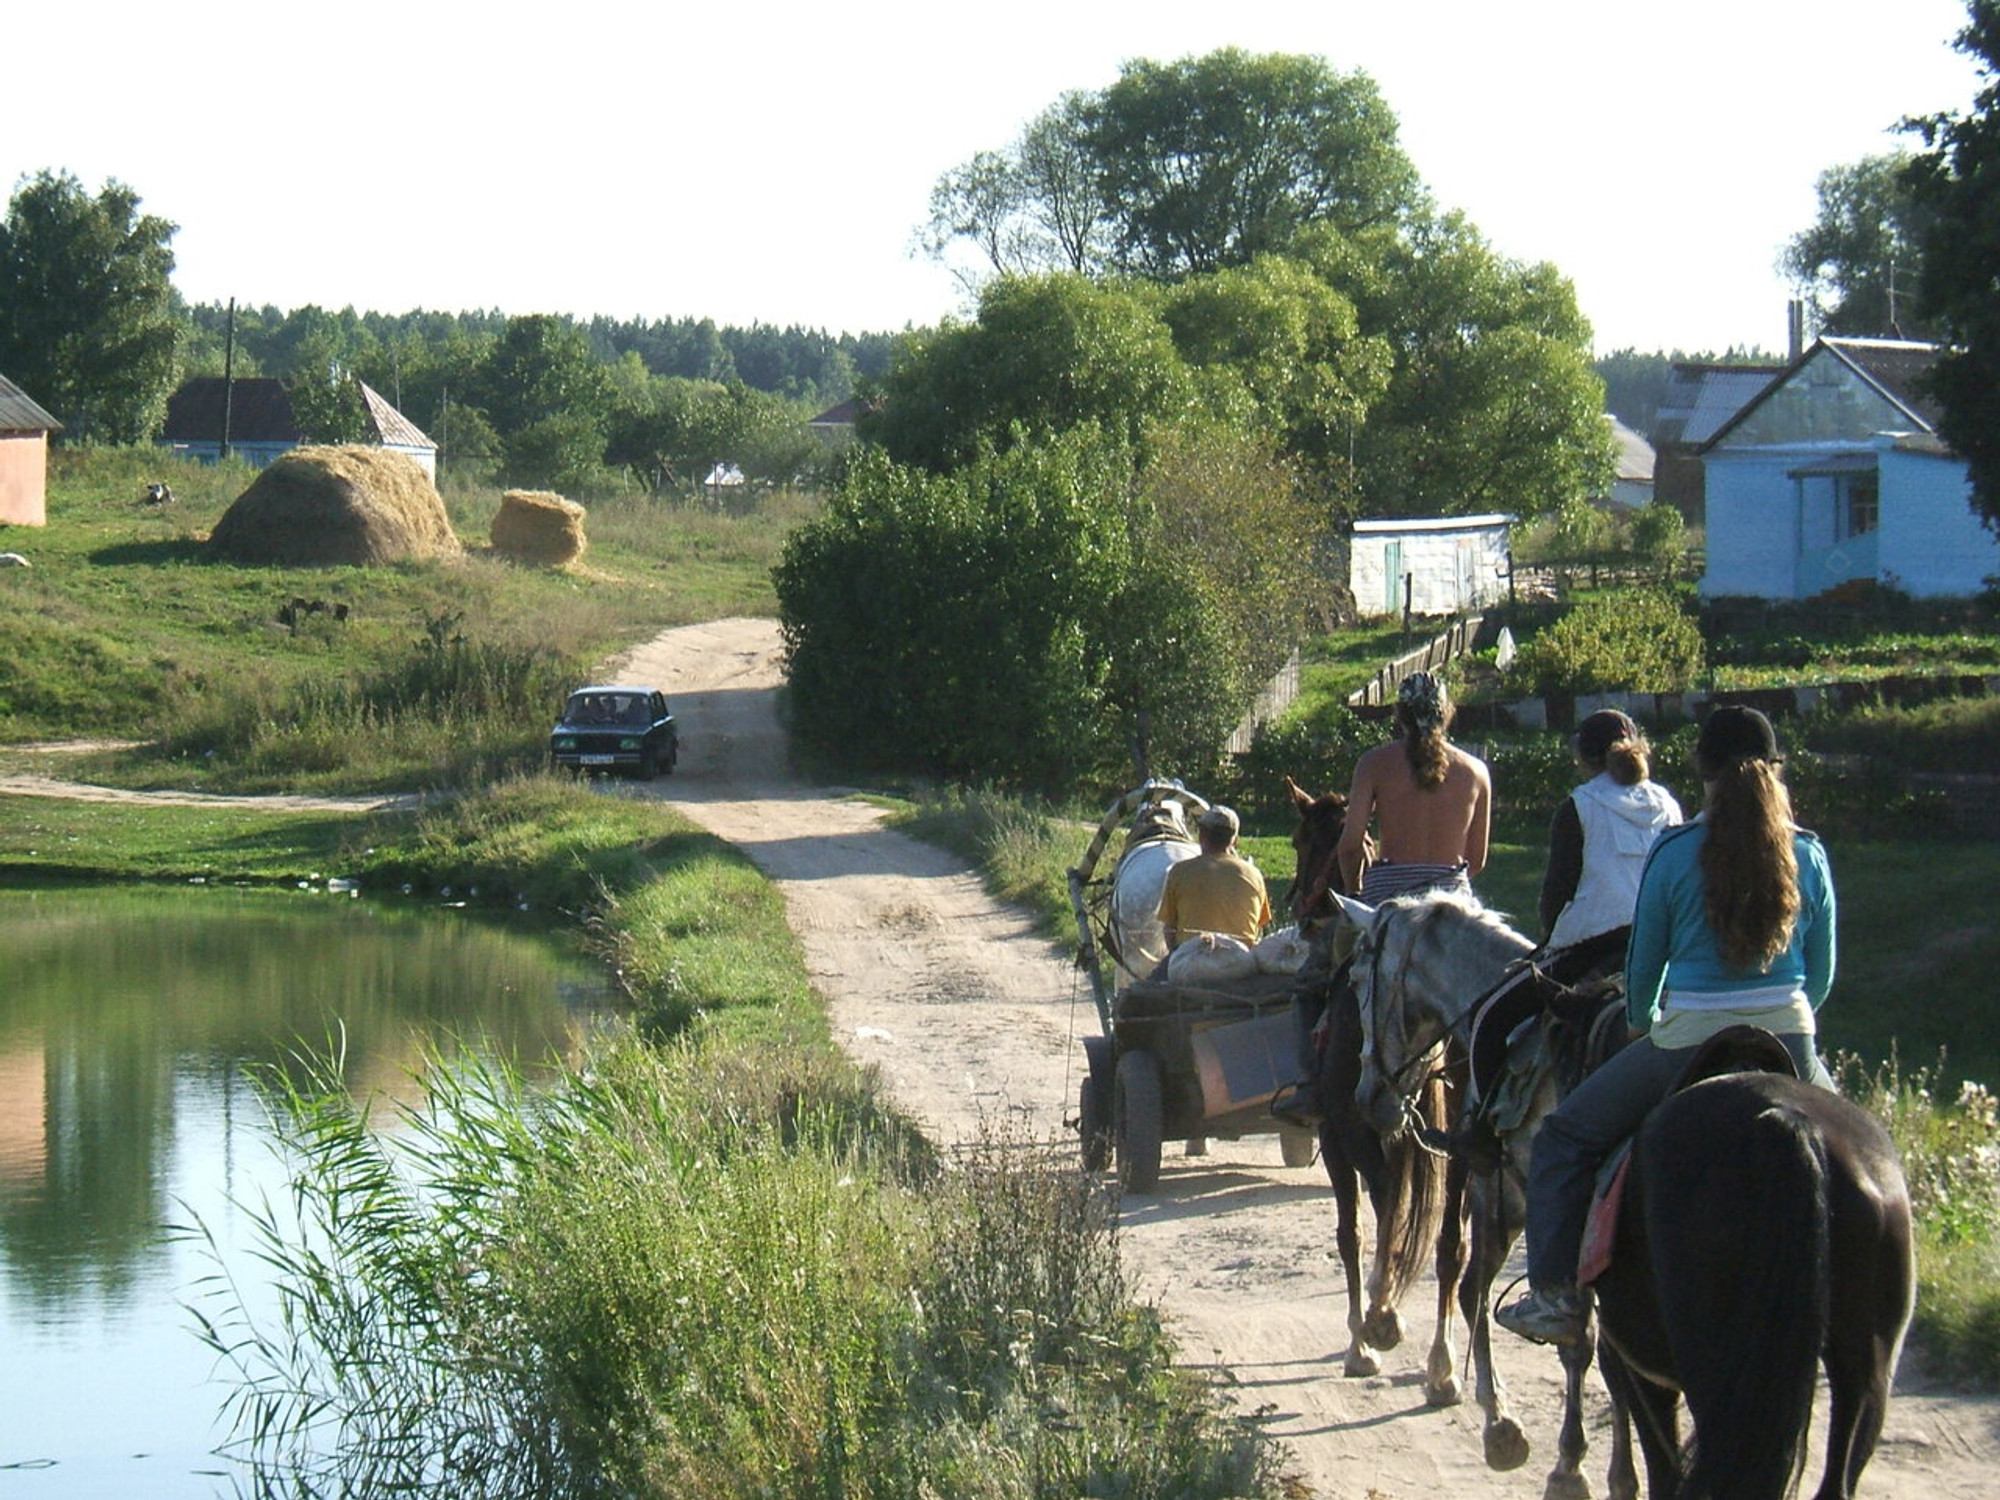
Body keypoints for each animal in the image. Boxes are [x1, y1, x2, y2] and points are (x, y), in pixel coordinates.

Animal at [1280, 780, 1472, 1408]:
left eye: (1300, 840)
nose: (1300, 907)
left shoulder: (1340, 1140)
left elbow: (1353, 1233)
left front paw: (1363, 1337)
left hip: (1364, 1136)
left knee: (1392, 1209)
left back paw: (1381, 1323)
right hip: (1466, 1152)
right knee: (1451, 1244)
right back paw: (1442, 1368)